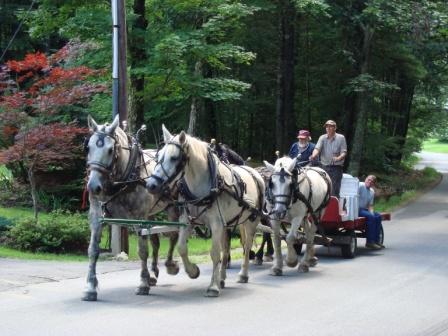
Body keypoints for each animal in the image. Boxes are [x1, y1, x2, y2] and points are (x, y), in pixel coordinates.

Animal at [83, 116, 178, 302]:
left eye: (110, 150)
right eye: (88, 147)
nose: (93, 187)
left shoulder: (139, 219)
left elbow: (142, 251)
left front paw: (143, 284)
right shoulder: (97, 215)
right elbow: (92, 249)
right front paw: (90, 287)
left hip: (173, 207)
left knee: (173, 235)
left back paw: (170, 265)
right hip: (151, 214)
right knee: (155, 241)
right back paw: (153, 274)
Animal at [145, 126, 264, 296]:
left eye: (174, 158)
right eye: (158, 156)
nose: (151, 185)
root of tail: (254, 172)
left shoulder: (216, 224)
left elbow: (214, 253)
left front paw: (212, 286)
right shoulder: (187, 221)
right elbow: (182, 248)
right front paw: (193, 271)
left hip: (251, 221)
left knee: (246, 246)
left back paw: (243, 274)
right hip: (228, 224)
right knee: (226, 249)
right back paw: (222, 278)